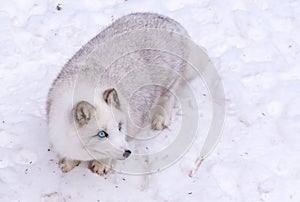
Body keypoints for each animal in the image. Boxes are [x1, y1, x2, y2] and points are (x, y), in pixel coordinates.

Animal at [47, 12, 192, 174]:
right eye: (102, 134)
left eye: (119, 127)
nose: (127, 152)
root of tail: (172, 22)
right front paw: (68, 163)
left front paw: (102, 165)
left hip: (171, 79)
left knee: (169, 96)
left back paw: (160, 118)